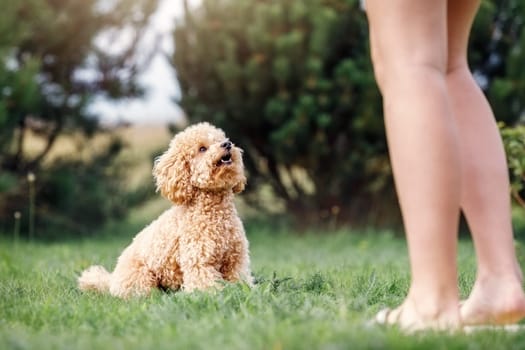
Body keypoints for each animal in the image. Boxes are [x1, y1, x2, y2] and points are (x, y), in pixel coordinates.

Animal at [76, 121, 254, 296]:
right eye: (202, 149)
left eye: (220, 139)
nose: (227, 144)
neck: (215, 210)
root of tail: (111, 280)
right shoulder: (199, 260)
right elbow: (205, 286)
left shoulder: (236, 260)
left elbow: (240, 280)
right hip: (141, 279)